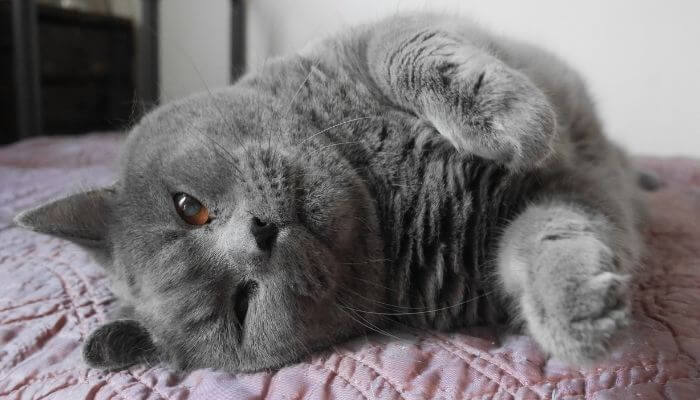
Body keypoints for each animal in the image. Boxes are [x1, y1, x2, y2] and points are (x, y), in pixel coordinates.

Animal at [13, 14, 648, 372]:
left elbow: (400, 51)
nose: (259, 235)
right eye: (241, 306)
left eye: (188, 207)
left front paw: (516, 121)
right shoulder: (506, 236)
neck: (379, 185)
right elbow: (544, 234)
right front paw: (580, 311)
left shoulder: (382, 33)